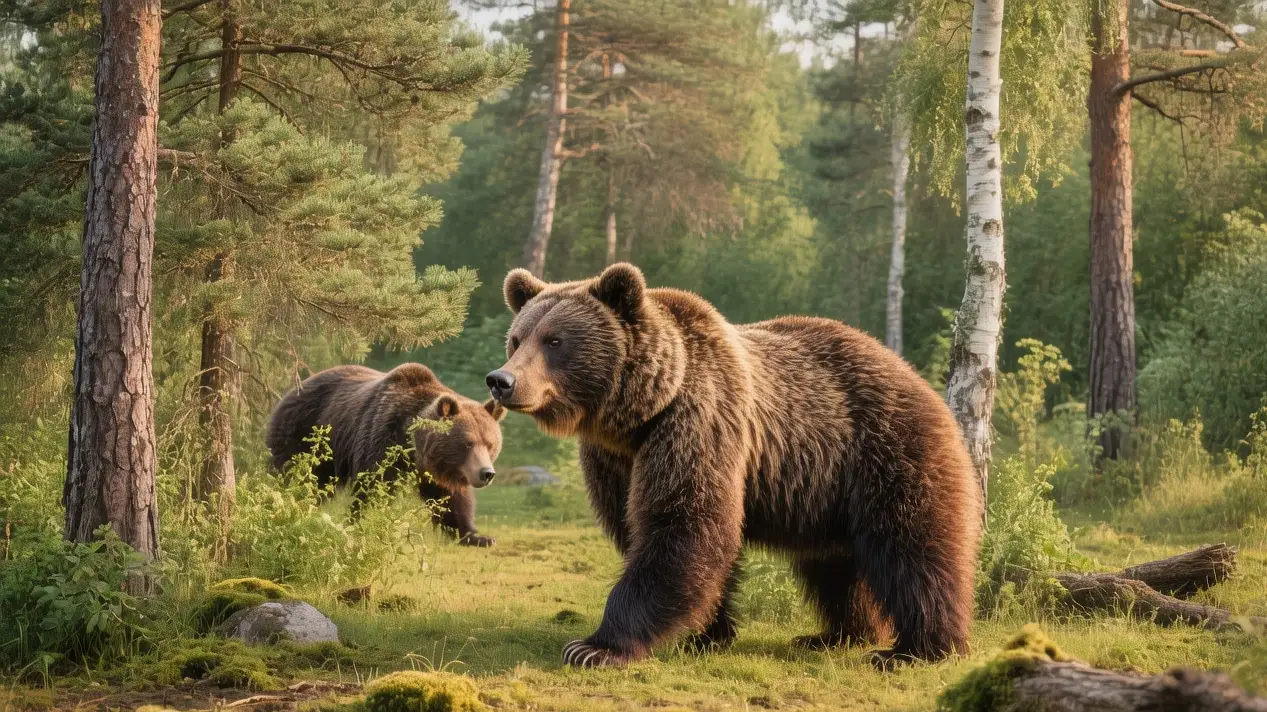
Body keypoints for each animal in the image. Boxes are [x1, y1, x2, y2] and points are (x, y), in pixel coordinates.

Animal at [266, 363, 506, 547]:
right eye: (468, 443)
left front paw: (478, 537)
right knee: (294, 480)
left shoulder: (442, 471)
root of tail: (289, 392)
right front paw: (361, 526)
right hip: (303, 435)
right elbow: (373, 486)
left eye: (490, 444)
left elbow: (453, 500)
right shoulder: (381, 437)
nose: (486, 473)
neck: (413, 447)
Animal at [485, 263, 982, 668]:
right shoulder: (614, 460)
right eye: (517, 338)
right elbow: (642, 529)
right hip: (827, 489)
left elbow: (684, 525)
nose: (501, 380)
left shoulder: (699, 424)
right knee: (833, 565)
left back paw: (917, 649)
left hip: (887, 450)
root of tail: (916, 377)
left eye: (555, 341)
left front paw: (594, 647)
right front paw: (708, 633)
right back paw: (837, 635)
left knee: (912, 547)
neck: (638, 415)